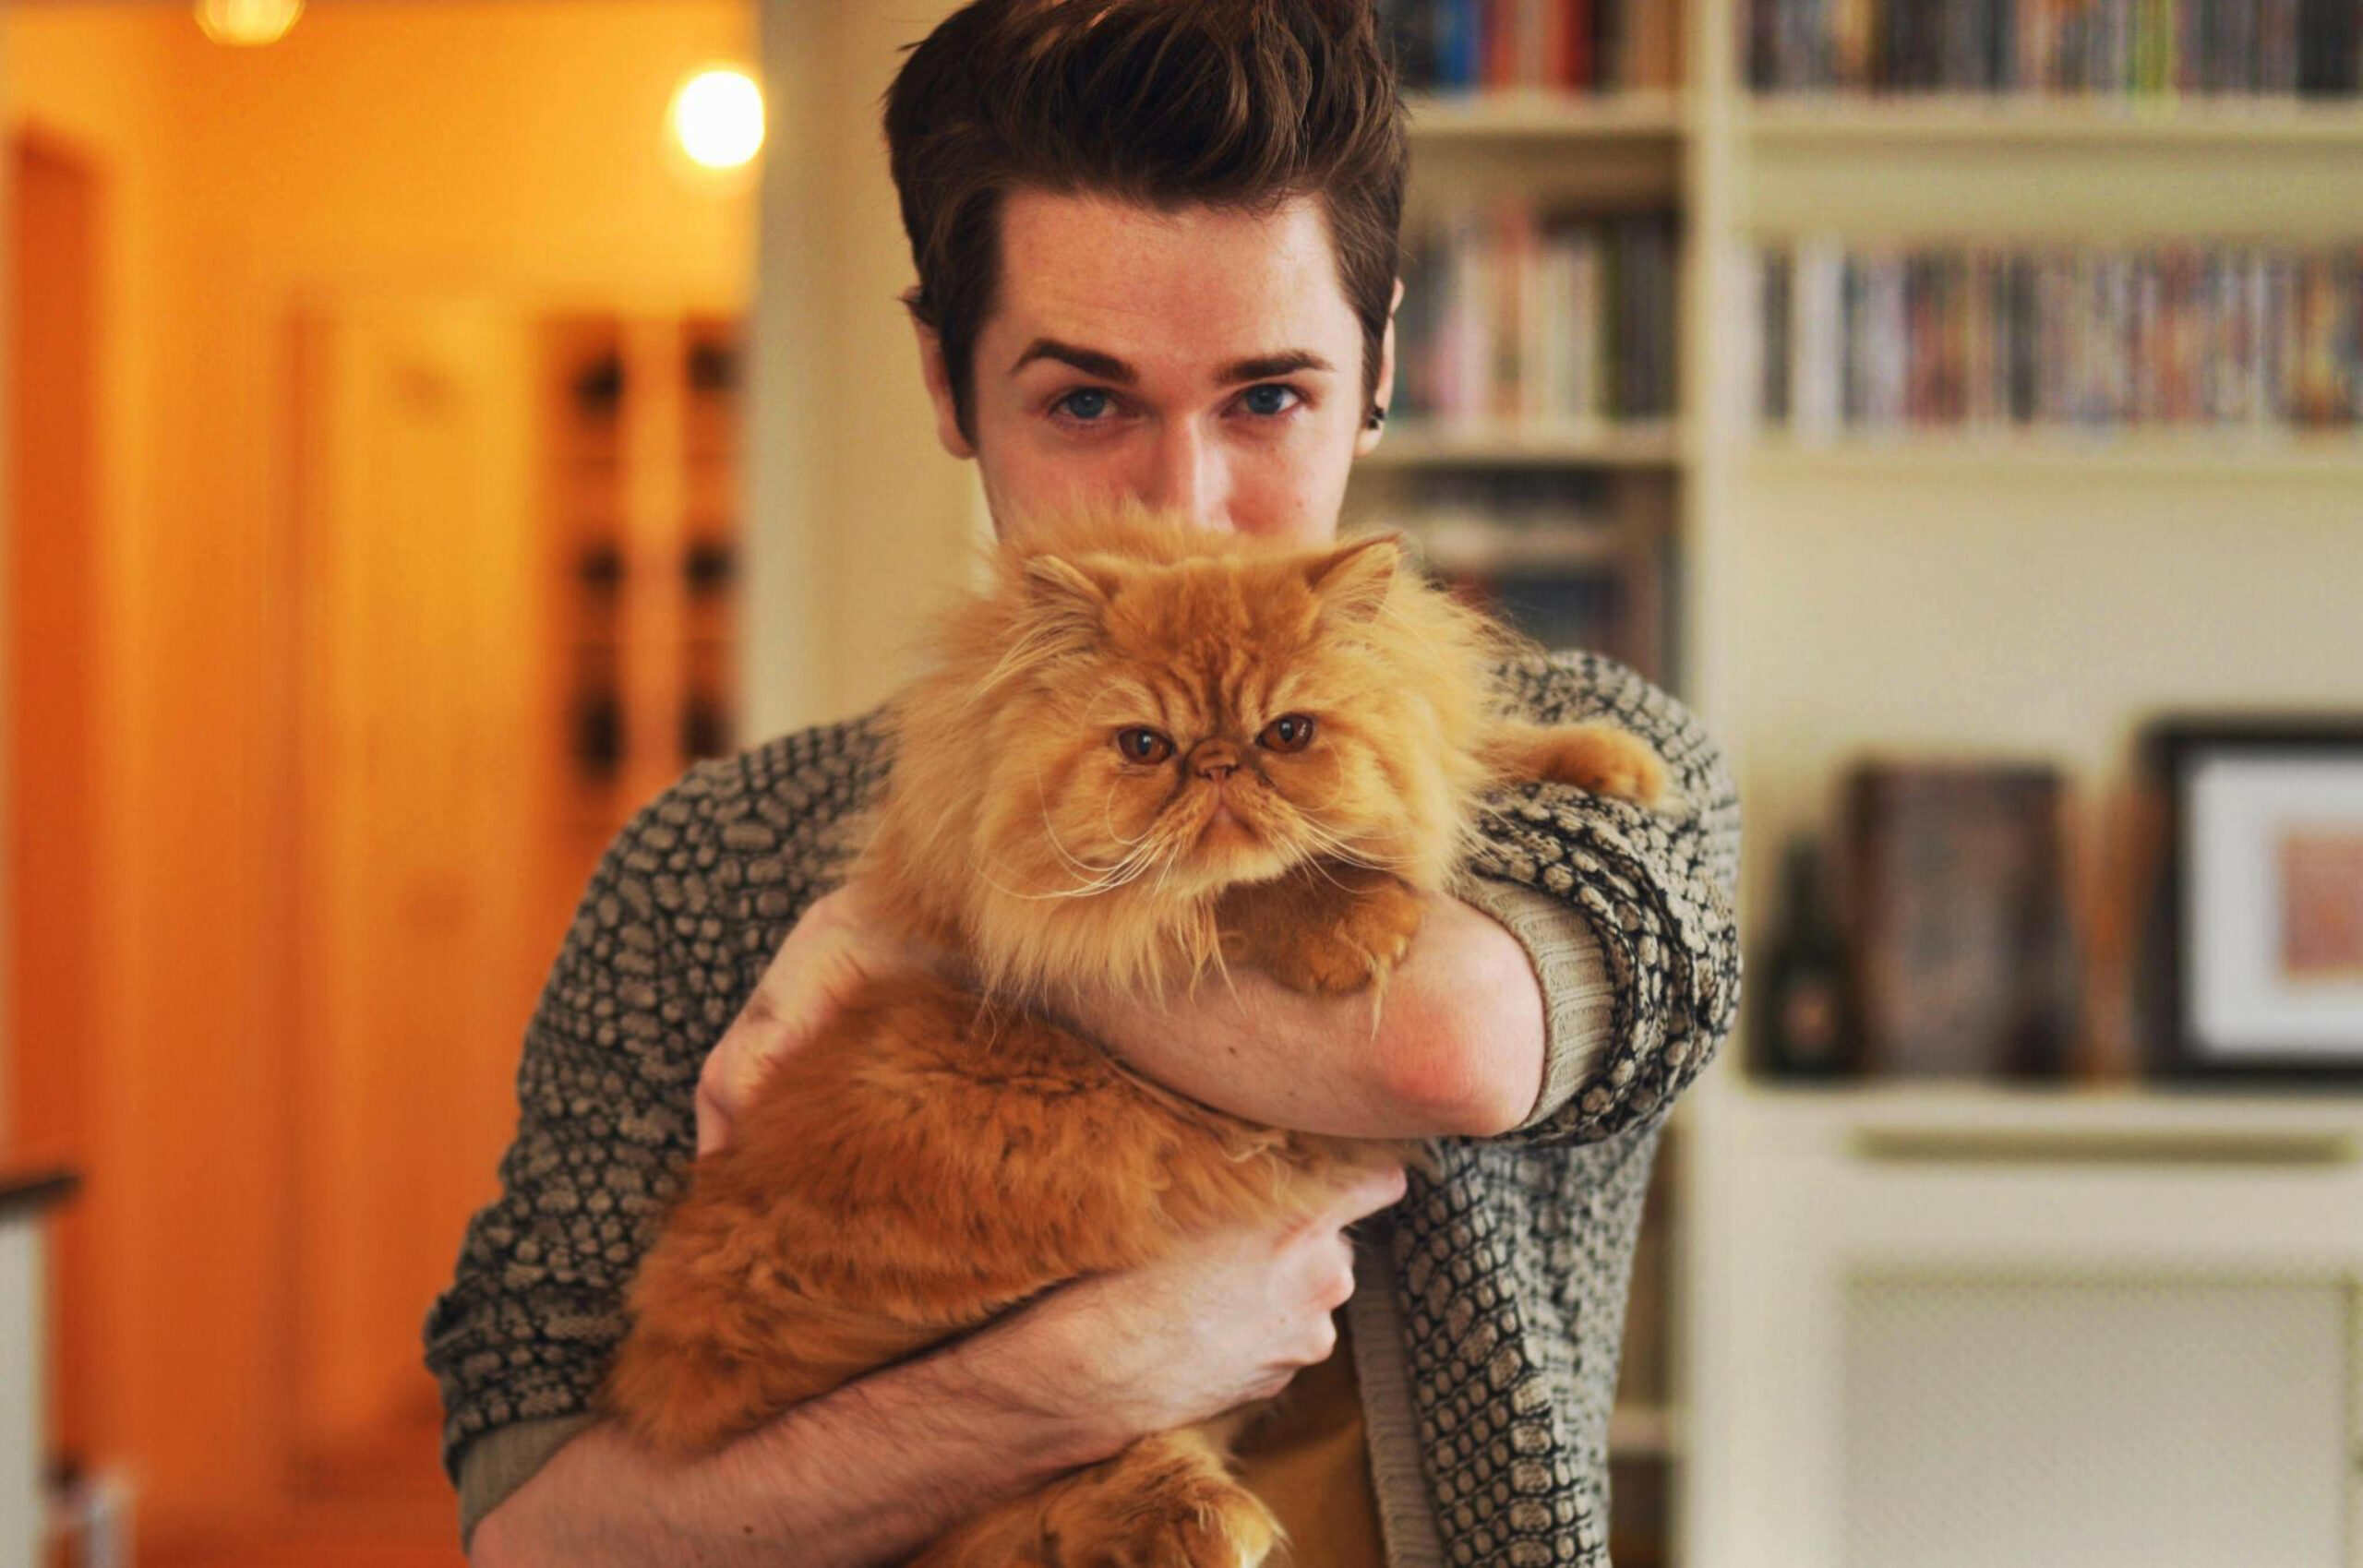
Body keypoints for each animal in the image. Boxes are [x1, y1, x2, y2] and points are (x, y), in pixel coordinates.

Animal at [609, 503, 1673, 1568]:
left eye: (1287, 732)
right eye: (1147, 745)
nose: (1218, 765)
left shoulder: (1424, 734)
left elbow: (1466, 755)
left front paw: (1610, 761)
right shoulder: (1043, 904)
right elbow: (1233, 893)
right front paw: (1351, 926)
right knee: (1052, 1488)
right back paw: (1202, 1521)